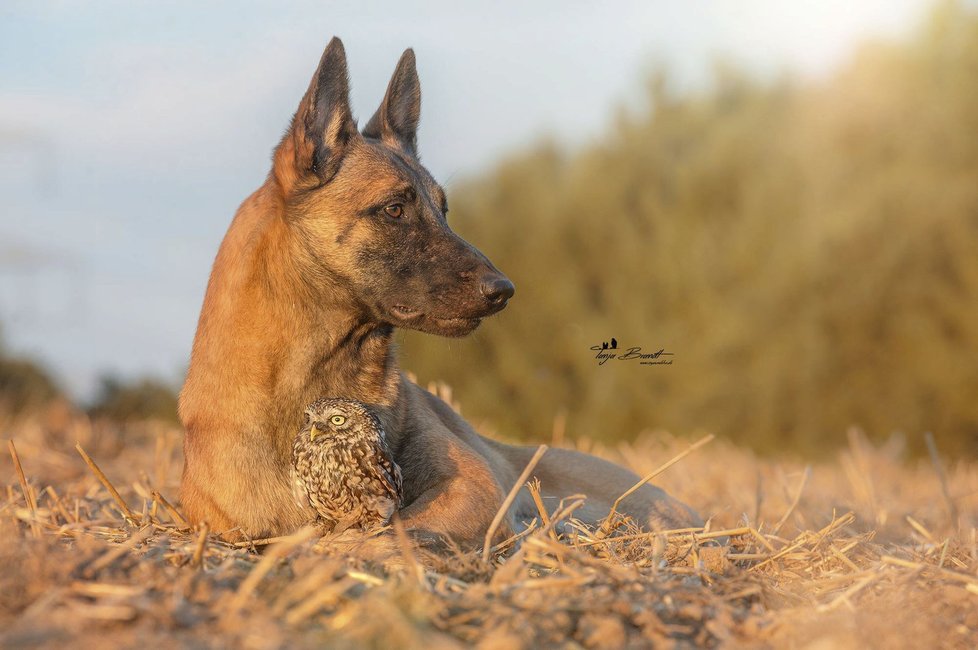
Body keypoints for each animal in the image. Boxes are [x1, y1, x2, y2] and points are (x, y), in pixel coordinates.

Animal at [179, 38, 700, 544]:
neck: (317, 376)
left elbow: (385, 535)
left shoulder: (472, 487)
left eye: (444, 210)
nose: (504, 290)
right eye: (394, 209)